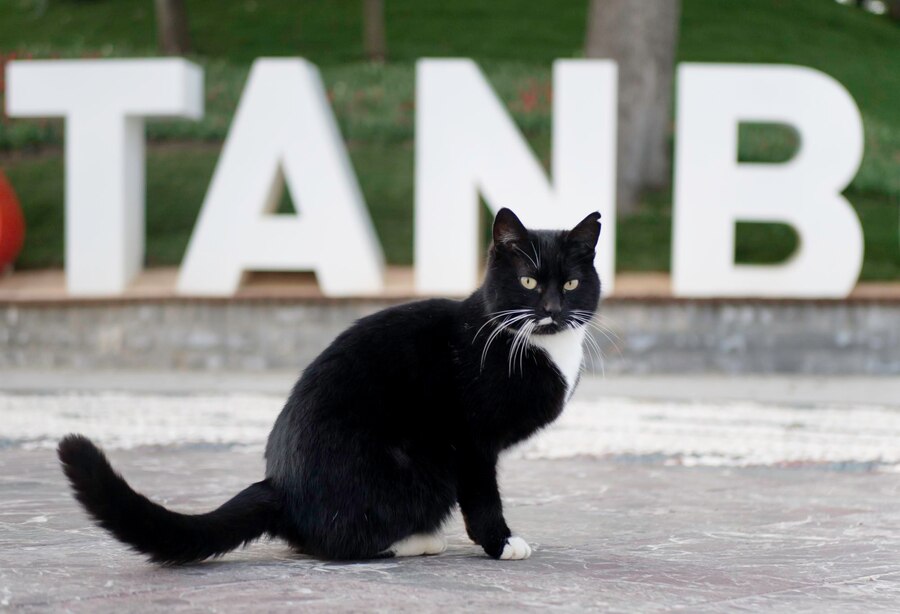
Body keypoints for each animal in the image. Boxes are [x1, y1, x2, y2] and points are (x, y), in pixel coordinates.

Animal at [59, 209, 600, 564]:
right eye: (529, 282)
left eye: (572, 284)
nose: (553, 309)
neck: (534, 344)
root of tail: (280, 486)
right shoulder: (469, 443)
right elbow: (484, 498)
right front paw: (501, 544)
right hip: (419, 465)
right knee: (337, 543)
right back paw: (413, 540)